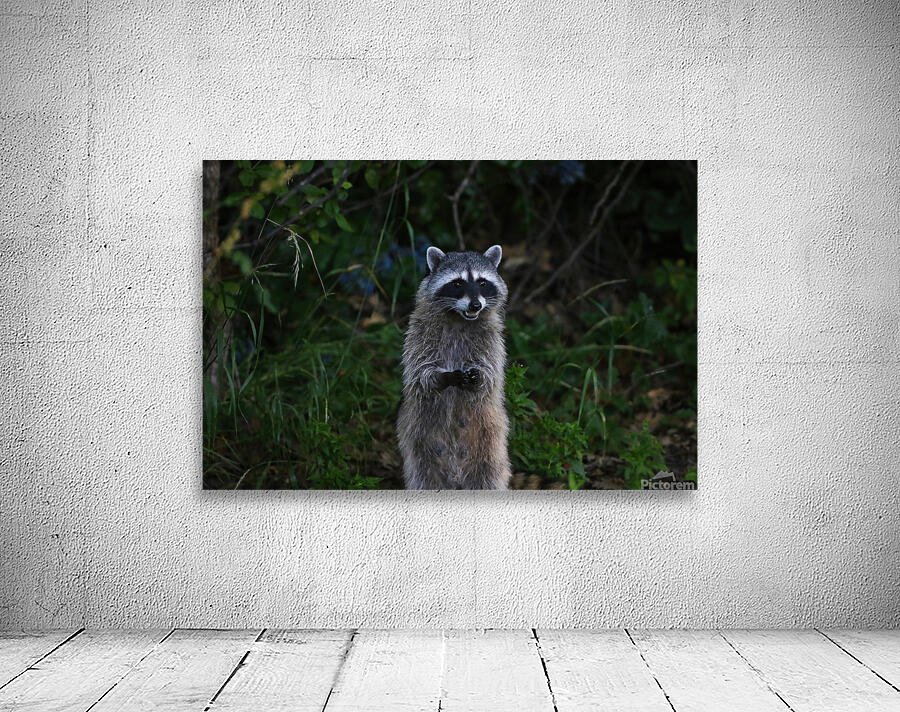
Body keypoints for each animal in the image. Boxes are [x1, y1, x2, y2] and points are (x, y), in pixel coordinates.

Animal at [397, 244, 511, 490]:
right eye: (457, 283)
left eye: (482, 282)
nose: (475, 305)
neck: (460, 319)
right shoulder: (419, 333)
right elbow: (419, 373)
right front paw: (441, 378)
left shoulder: (492, 340)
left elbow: (491, 374)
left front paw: (479, 377)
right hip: (418, 442)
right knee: (423, 478)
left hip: (490, 441)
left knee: (489, 477)